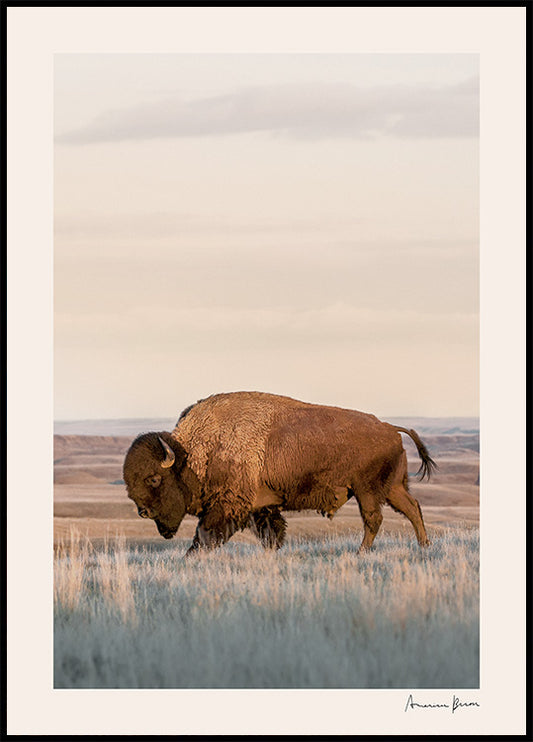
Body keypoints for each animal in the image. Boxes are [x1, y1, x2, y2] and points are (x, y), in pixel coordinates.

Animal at [123, 391, 436, 555]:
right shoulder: (262, 507)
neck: (193, 454)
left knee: (374, 519)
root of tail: (390, 428)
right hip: (392, 488)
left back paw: (362, 552)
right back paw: (424, 545)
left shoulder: (229, 506)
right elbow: (271, 534)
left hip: (367, 490)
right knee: (412, 508)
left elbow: (205, 534)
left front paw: (192, 556)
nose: (143, 512)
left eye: (154, 478)